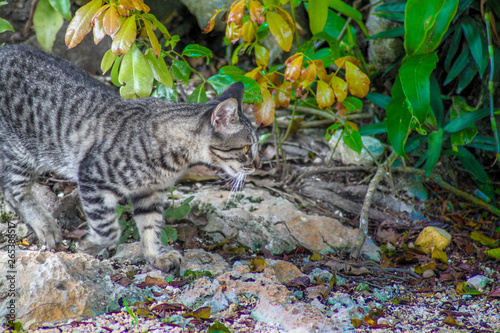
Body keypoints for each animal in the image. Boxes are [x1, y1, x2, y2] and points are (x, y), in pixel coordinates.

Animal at [0, 44, 262, 272]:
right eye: (247, 148)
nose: (258, 165)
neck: (175, 159)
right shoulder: (92, 176)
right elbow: (109, 229)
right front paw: (90, 245)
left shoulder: (151, 193)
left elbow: (151, 226)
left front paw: (156, 255)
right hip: (19, 152)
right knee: (14, 191)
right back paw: (47, 228)